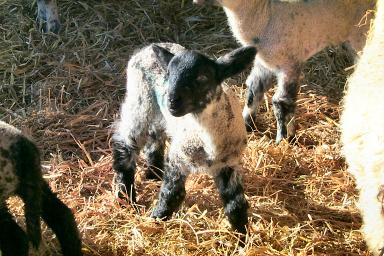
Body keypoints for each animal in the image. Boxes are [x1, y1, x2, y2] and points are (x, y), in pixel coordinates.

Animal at [112, 43, 256, 237]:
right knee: (125, 144)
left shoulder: (229, 165)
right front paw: (156, 219)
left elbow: (236, 204)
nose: (172, 101)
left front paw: (242, 236)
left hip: (159, 114)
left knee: (155, 136)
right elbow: (171, 193)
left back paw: (154, 173)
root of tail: (146, 48)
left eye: (202, 77)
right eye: (168, 74)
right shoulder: (178, 158)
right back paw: (126, 196)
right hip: (139, 103)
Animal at [195, 0, 376, 144]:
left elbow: (282, 102)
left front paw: (284, 140)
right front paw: (247, 124)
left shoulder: (290, 64)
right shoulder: (264, 63)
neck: (265, 16)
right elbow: (254, 90)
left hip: (362, 35)